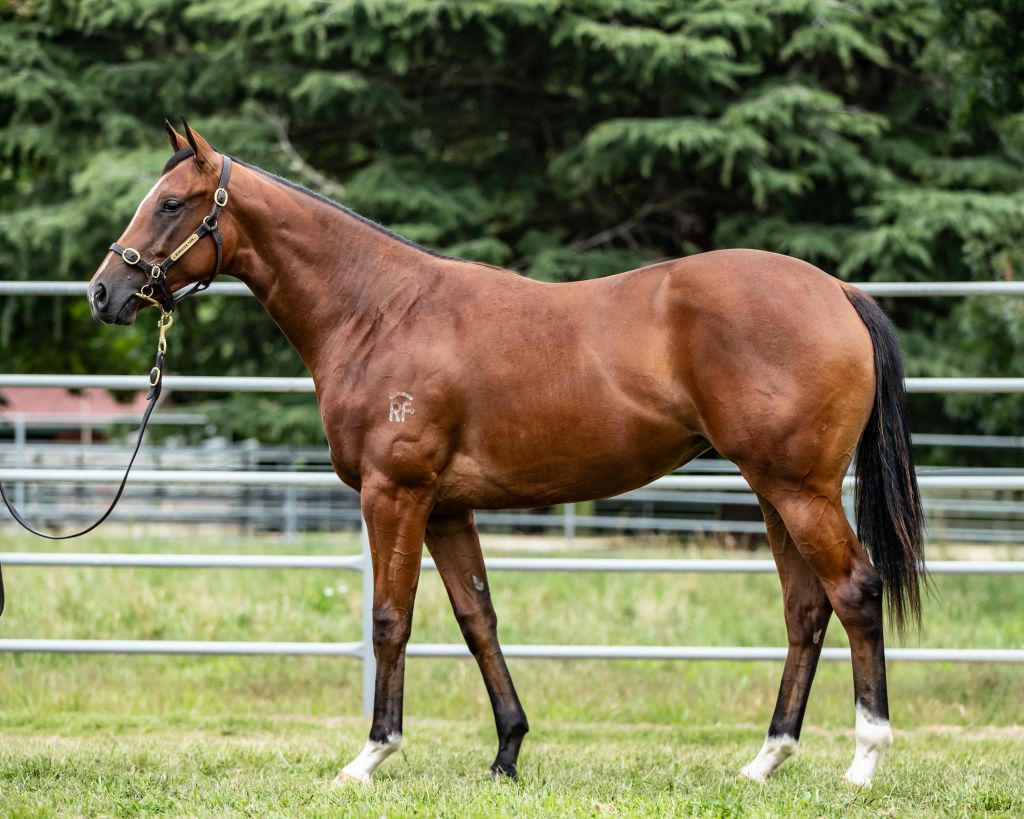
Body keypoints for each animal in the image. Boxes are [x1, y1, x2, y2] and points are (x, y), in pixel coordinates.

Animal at [86, 121, 929, 786]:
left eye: (170, 203)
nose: (102, 293)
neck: (379, 310)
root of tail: (838, 291)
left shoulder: (395, 492)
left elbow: (391, 617)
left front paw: (371, 754)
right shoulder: (447, 508)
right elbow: (476, 618)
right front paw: (507, 752)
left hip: (799, 488)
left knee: (856, 591)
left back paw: (864, 760)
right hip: (773, 490)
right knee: (805, 609)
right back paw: (766, 759)